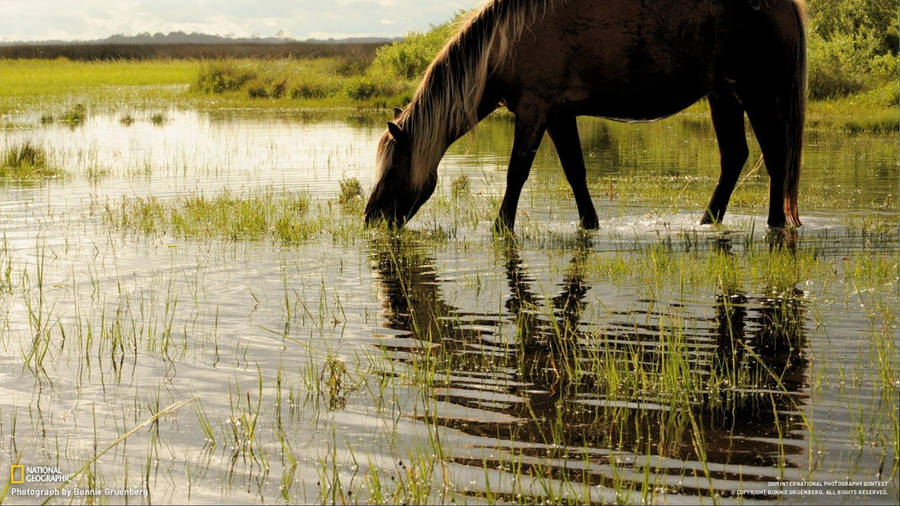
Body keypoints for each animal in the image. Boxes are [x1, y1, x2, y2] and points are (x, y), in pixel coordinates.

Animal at [364, 0, 807, 231]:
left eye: (394, 166)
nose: (371, 218)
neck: (506, 42)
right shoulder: (559, 116)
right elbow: (575, 171)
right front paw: (588, 224)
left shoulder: (534, 111)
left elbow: (516, 173)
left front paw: (501, 226)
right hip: (723, 95)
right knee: (735, 157)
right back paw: (707, 222)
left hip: (758, 94)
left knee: (775, 156)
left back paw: (775, 224)